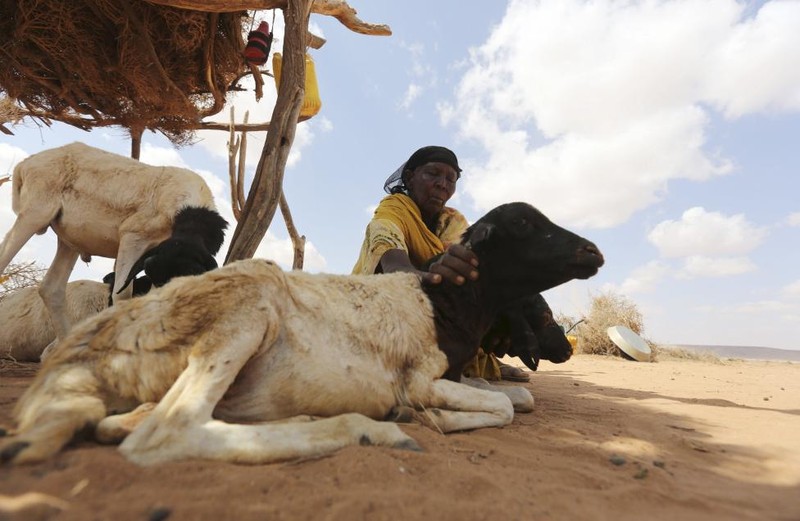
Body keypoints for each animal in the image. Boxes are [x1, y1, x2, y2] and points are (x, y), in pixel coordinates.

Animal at [0, 142, 217, 340]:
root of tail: (26, 163)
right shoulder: (133, 237)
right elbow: (122, 294)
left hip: (71, 240)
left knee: (51, 289)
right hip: (35, 211)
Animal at [0, 201, 600, 466]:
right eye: (524, 224)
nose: (593, 251)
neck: (439, 304)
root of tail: (72, 364)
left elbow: (516, 398)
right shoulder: (423, 377)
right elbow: (500, 406)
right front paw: (430, 419)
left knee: (126, 424)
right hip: (245, 309)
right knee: (166, 434)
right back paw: (373, 430)